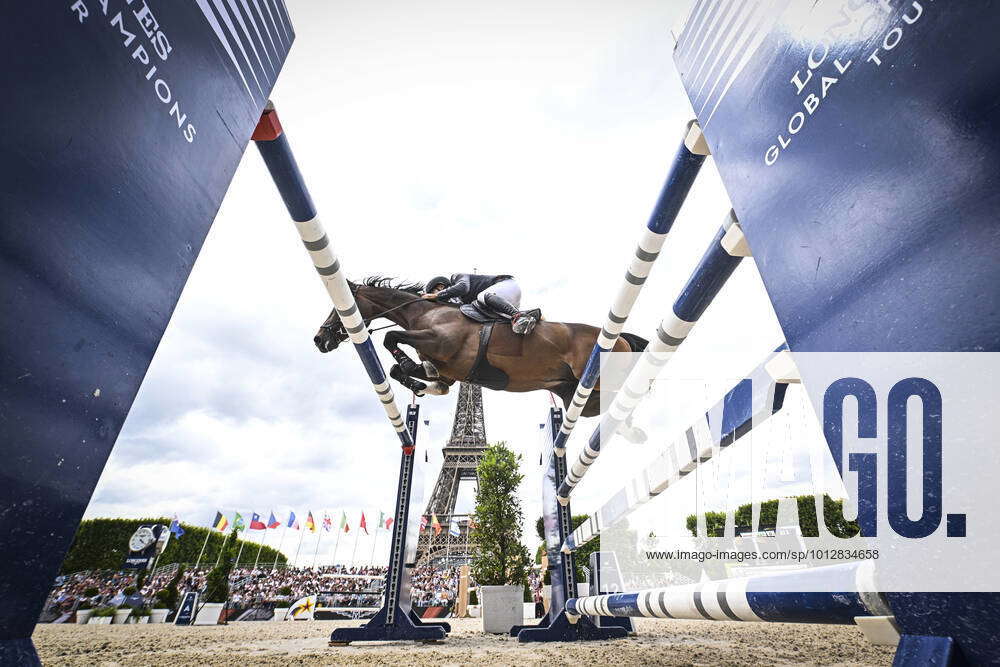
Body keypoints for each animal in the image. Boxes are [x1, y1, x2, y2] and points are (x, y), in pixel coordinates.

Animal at [312, 278, 648, 418]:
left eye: (338, 308)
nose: (319, 340)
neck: (427, 310)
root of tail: (620, 337)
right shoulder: (447, 371)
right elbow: (408, 370)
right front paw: (418, 383)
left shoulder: (440, 342)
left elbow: (391, 338)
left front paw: (410, 371)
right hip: (574, 394)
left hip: (598, 379)